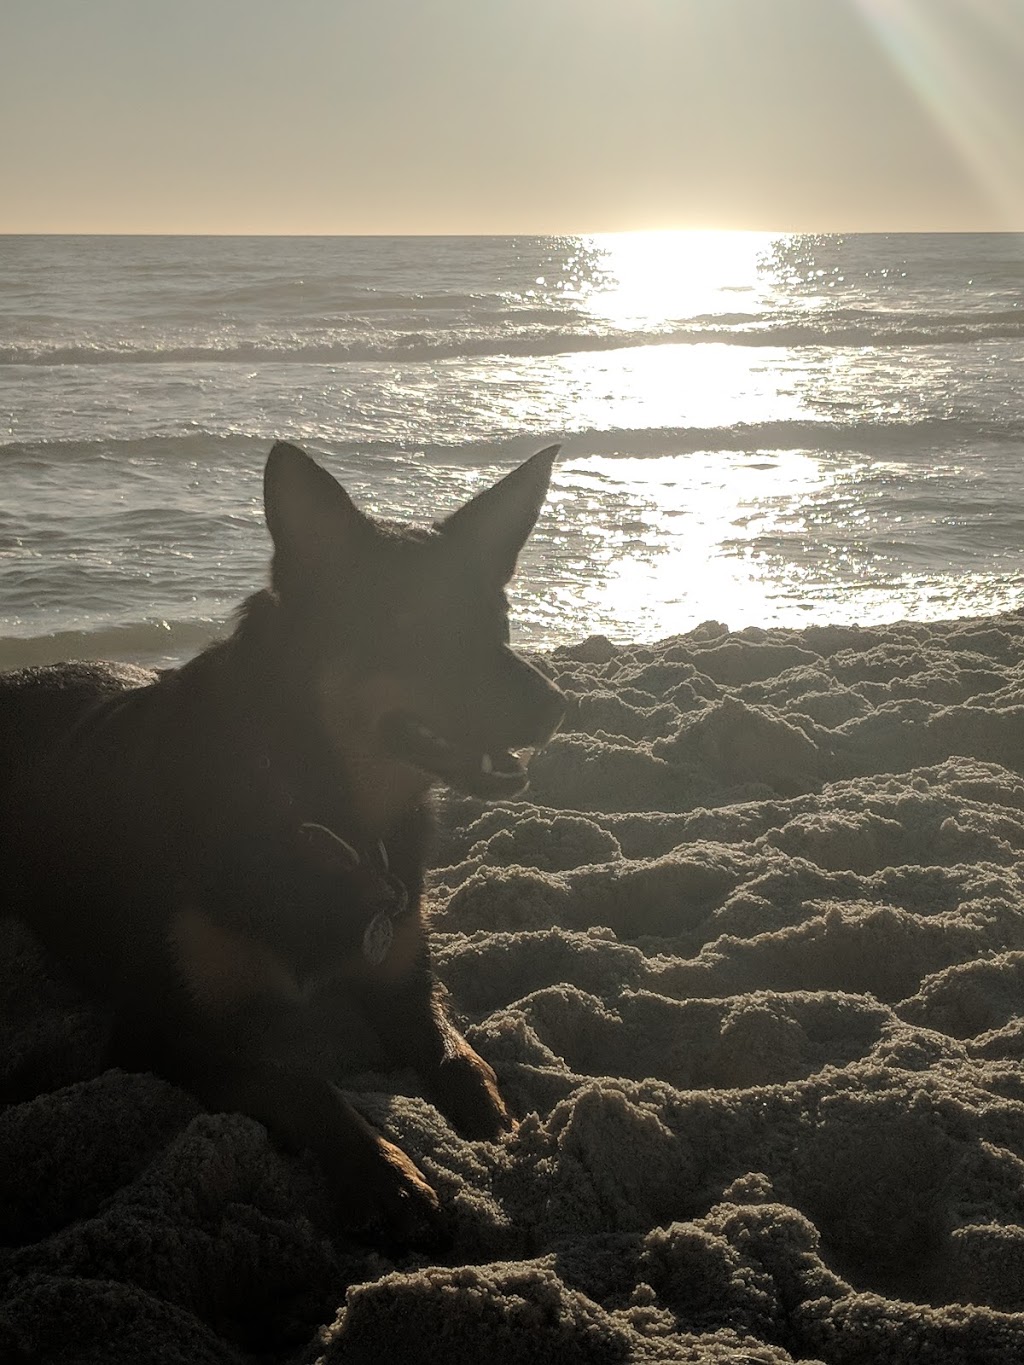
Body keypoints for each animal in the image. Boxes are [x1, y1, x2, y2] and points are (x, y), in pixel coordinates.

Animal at [0, 442, 565, 1244]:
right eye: (411, 624)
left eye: (502, 619)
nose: (558, 704)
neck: (325, 816)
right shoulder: (157, 1031)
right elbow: (296, 1078)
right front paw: (387, 1174)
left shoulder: (404, 981)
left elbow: (457, 1055)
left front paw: (490, 1114)